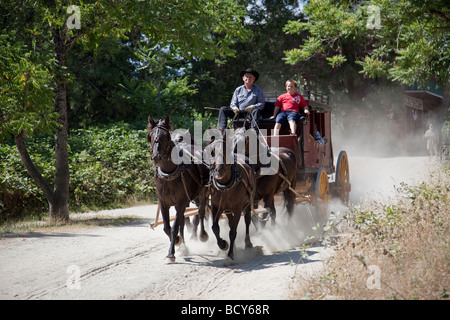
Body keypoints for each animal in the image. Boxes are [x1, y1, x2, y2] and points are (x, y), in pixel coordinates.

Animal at [149, 115, 210, 262]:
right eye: (150, 136)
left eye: (166, 136)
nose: (156, 157)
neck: (169, 174)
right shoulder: (164, 203)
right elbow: (167, 227)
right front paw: (177, 241)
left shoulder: (181, 201)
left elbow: (175, 226)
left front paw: (170, 254)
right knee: (184, 219)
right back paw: (183, 246)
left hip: (203, 192)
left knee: (201, 212)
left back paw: (202, 235)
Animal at [205, 131, 256, 262]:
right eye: (212, 152)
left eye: (226, 149)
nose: (219, 170)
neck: (225, 187)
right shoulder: (216, 207)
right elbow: (215, 227)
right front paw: (223, 244)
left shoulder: (238, 209)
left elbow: (233, 232)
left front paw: (230, 255)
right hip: (227, 209)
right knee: (230, 221)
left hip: (248, 204)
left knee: (247, 220)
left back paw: (248, 243)